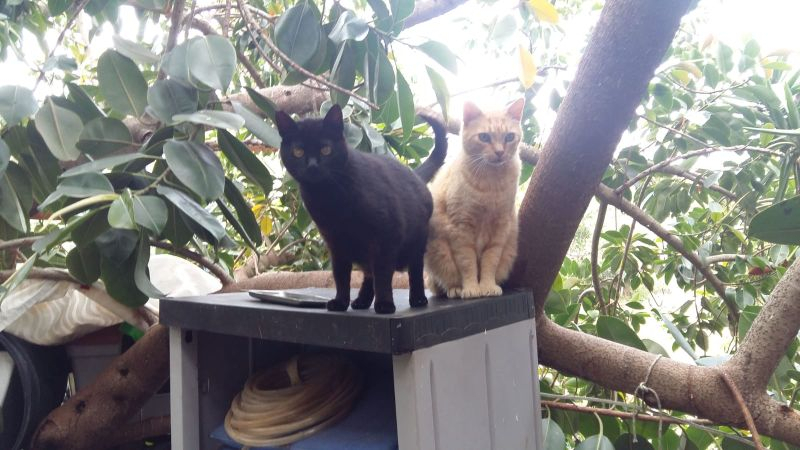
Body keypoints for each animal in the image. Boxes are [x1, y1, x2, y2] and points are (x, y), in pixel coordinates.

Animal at [274, 104, 447, 314]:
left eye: (326, 150)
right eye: (298, 152)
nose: (313, 165)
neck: (329, 198)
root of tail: (415, 175)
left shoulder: (387, 236)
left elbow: (383, 275)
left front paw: (385, 304)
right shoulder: (335, 243)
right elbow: (341, 276)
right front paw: (340, 302)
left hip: (416, 242)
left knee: (413, 268)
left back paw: (418, 298)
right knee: (368, 274)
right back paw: (362, 300)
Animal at [424, 99, 524, 299]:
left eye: (509, 137)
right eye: (484, 137)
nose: (500, 152)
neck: (491, 185)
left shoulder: (499, 230)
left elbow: (490, 262)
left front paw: (487, 286)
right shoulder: (461, 229)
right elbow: (467, 263)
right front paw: (471, 288)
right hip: (439, 255)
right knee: (443, 284)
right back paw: (455, 289)